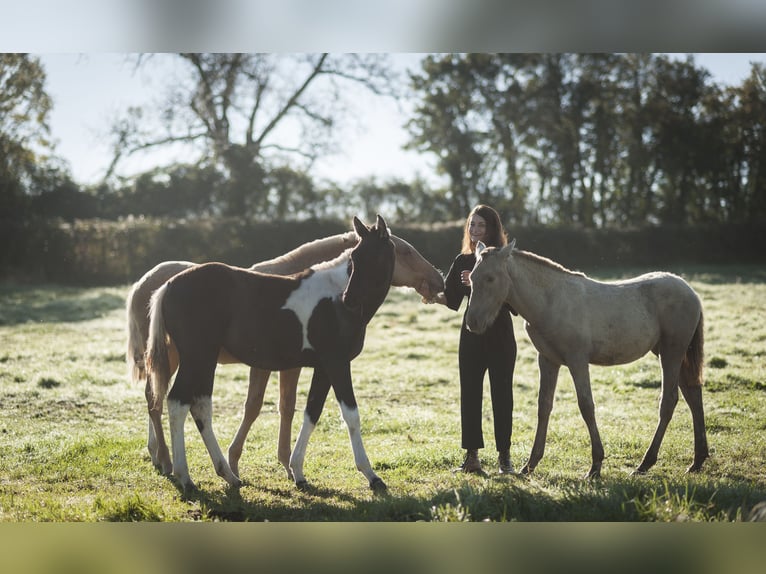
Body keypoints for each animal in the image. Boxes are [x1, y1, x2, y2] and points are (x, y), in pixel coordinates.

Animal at [127, 230, 444, 482]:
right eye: (405, 251)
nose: (438, 279)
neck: (332, 298)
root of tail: (164, 285)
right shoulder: (335, 363)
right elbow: (348, 414)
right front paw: (370, 474)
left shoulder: (319, 367)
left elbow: (306, 411)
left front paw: (295, 469)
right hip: (194, 358)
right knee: (173, 402)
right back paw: (180, 471)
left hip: (195, 361)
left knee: (187, 404)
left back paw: (218, 471)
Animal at [464, 241, 712, 480]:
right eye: (471, 278)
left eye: (490, 278)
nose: (473, 322)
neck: (551, 300)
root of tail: (690, 291)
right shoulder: (548, 360)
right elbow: (544, 406)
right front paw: (530, 465)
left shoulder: (577, 360)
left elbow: (586, 406)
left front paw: (595, 466)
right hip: (669, 353)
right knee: (693, 394)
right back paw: (697, 461)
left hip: (672, 353)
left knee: (669, 401)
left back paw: (645, 464)